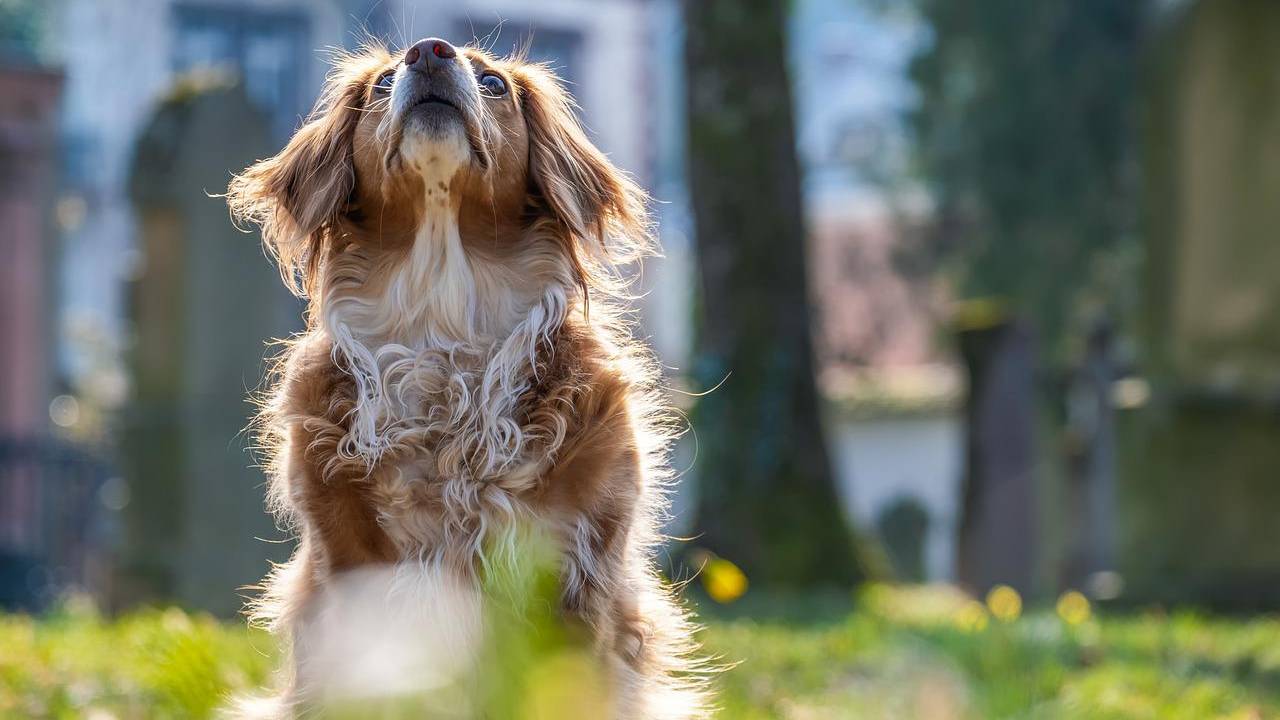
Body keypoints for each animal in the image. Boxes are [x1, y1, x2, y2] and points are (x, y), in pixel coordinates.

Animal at [230, 37, 711, 712]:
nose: (428, 51)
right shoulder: (352, 575)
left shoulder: (574, 578)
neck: (444, 321)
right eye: (382, 84)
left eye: (494, 84)